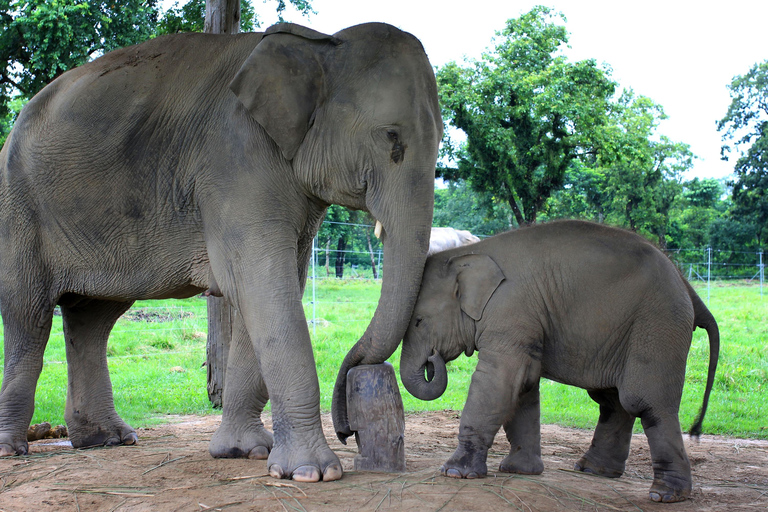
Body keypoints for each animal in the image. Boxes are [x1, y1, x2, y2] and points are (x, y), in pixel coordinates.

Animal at [0, 21, 440, 484]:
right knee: (28, 316)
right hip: (19, 209)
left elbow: (270, 287)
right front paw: (311, 473)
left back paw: (109, 439)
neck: (320, 44)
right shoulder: (235, 161)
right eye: (391, 136)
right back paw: (14, 448)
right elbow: (260, 283)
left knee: (92, 318)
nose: (348, 430)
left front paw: (243, 451)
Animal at [402, 218, 720, 502]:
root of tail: (687, 286)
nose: (433, 359)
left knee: (645, 403)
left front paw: (455, 473)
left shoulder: (511, 311)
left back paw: (665, 495)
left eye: (418, 321)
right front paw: (519, 471)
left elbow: (499, 380)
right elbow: (523, 386)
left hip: (658, 324)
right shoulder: (526, 322)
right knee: (612, 401)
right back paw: (593, 470)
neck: (470, 253)